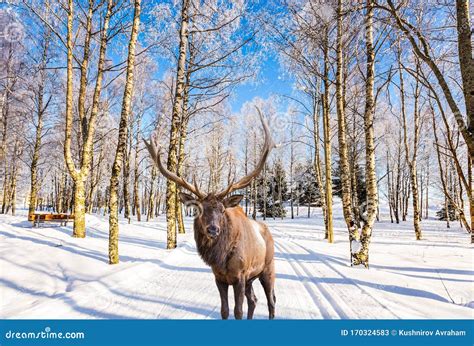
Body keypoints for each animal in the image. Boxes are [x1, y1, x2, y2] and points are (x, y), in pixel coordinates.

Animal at [144, 109, 278, 320]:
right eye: (198, 208)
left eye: (222, 210)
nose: (213, 229)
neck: (221, 259)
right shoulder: (219, 277)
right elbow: (224, 311)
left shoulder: (240, 275)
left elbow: (237, 311)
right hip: (252, 277)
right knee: (254, 300)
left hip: (268, 267)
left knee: (271, 300)